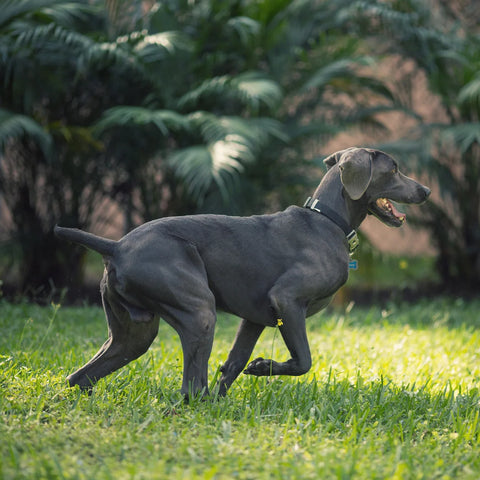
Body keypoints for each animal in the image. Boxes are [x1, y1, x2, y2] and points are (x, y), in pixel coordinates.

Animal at [54, 146, 430, 398]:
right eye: (394, 169)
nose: (426, 191)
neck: (328, 221)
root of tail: (116, 245)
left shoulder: (257, 317)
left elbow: (234, 363)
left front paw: (228, 397)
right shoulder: (287, 300)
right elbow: (303, 361)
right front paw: (262, 368)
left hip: (133, 333)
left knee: (81, 377)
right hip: (199, 311)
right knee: (190, 387)